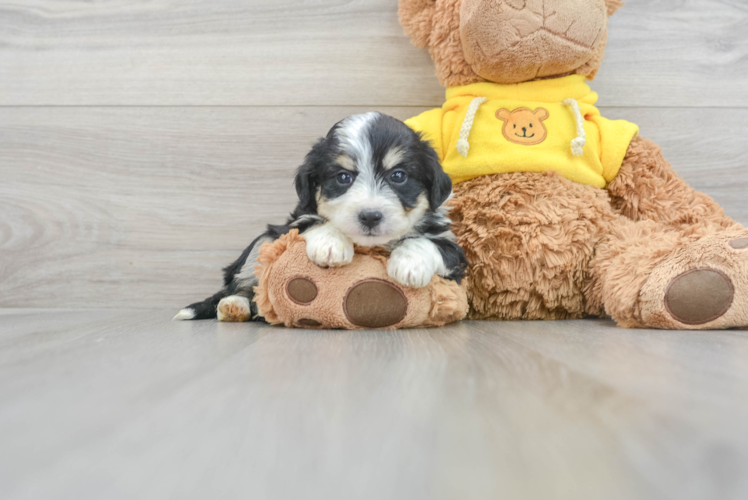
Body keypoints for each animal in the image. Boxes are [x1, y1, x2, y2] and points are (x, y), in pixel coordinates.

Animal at [176, 114, 468, 322]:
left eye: (398, 176)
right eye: (343, 177)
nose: (370, 216)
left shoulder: (454, 253)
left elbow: (425, 242)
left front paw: (410, 265)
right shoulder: (295, 221)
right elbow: (315, 221)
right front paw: (331, 245)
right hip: (263, 241)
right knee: (243, 284)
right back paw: (233, 305)